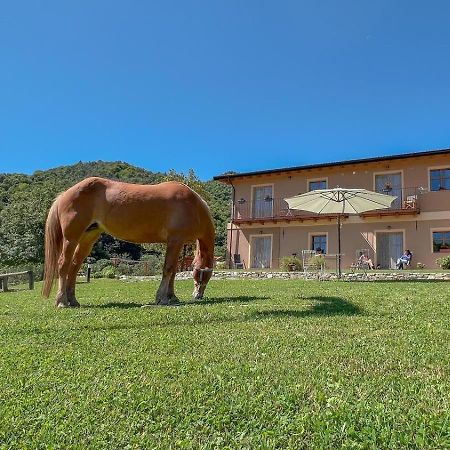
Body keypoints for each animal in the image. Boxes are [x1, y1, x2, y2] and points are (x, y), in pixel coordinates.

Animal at [43, 178, 215, 308]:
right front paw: (162, 298)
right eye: (203, 275)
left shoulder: (177, 244)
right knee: (63, 265)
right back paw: (62, 302)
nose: (198, 295)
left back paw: (72, 301)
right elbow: (168, 269)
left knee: (74, 266)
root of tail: (65, 194)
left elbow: (173, 272)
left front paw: (172, 297)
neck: (192, 205)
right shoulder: (175, 240)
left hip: (88, 238)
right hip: (71, 239)